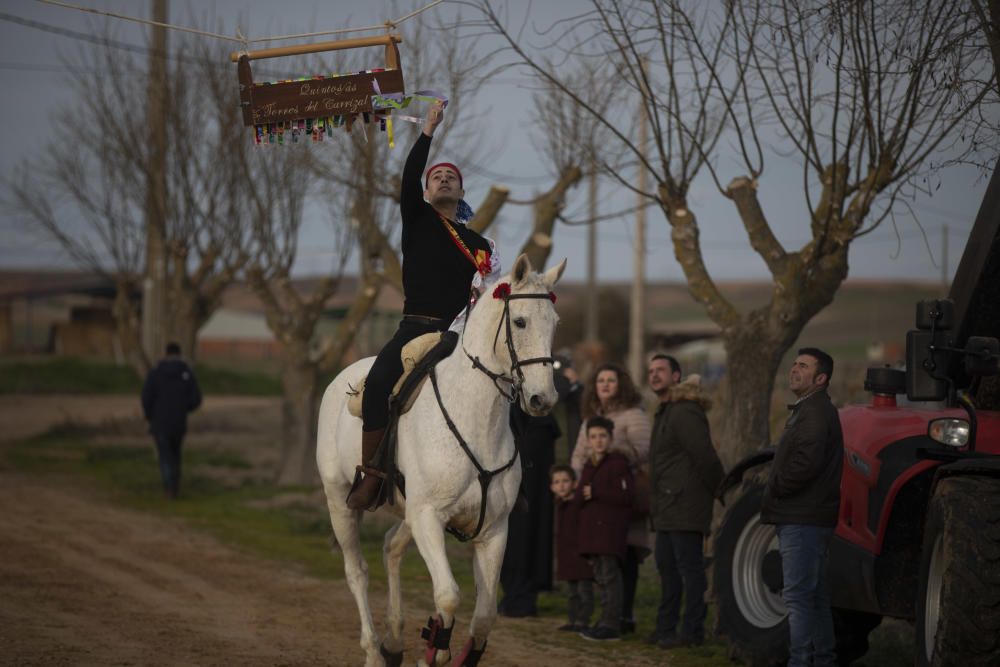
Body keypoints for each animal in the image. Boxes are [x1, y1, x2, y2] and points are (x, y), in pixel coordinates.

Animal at [314, 253, 564, 664]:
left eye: (555, 323)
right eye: (520, 321)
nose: (543, 399)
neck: (476, 419)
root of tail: (341, 378)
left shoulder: (493, 529)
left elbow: (484, 616)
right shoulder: (429, 517)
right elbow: (448, 596)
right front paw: (435, 648)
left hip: (406, 512)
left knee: (390, 547)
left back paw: (394, 640)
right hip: (340, 501)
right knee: (357, 571)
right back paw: (373, 650)